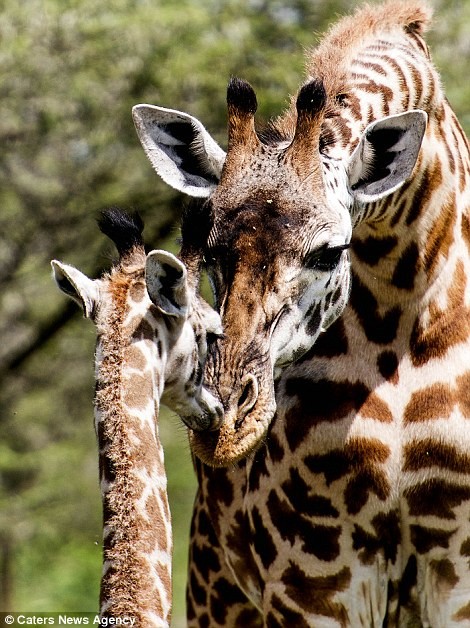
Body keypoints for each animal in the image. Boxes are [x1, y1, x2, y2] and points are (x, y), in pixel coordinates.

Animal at [132, 2, 470, 624]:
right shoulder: (312, 578)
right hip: (215, 588)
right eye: (209, 249)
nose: (227, 424)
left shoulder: (456, 566)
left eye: (330, 252)